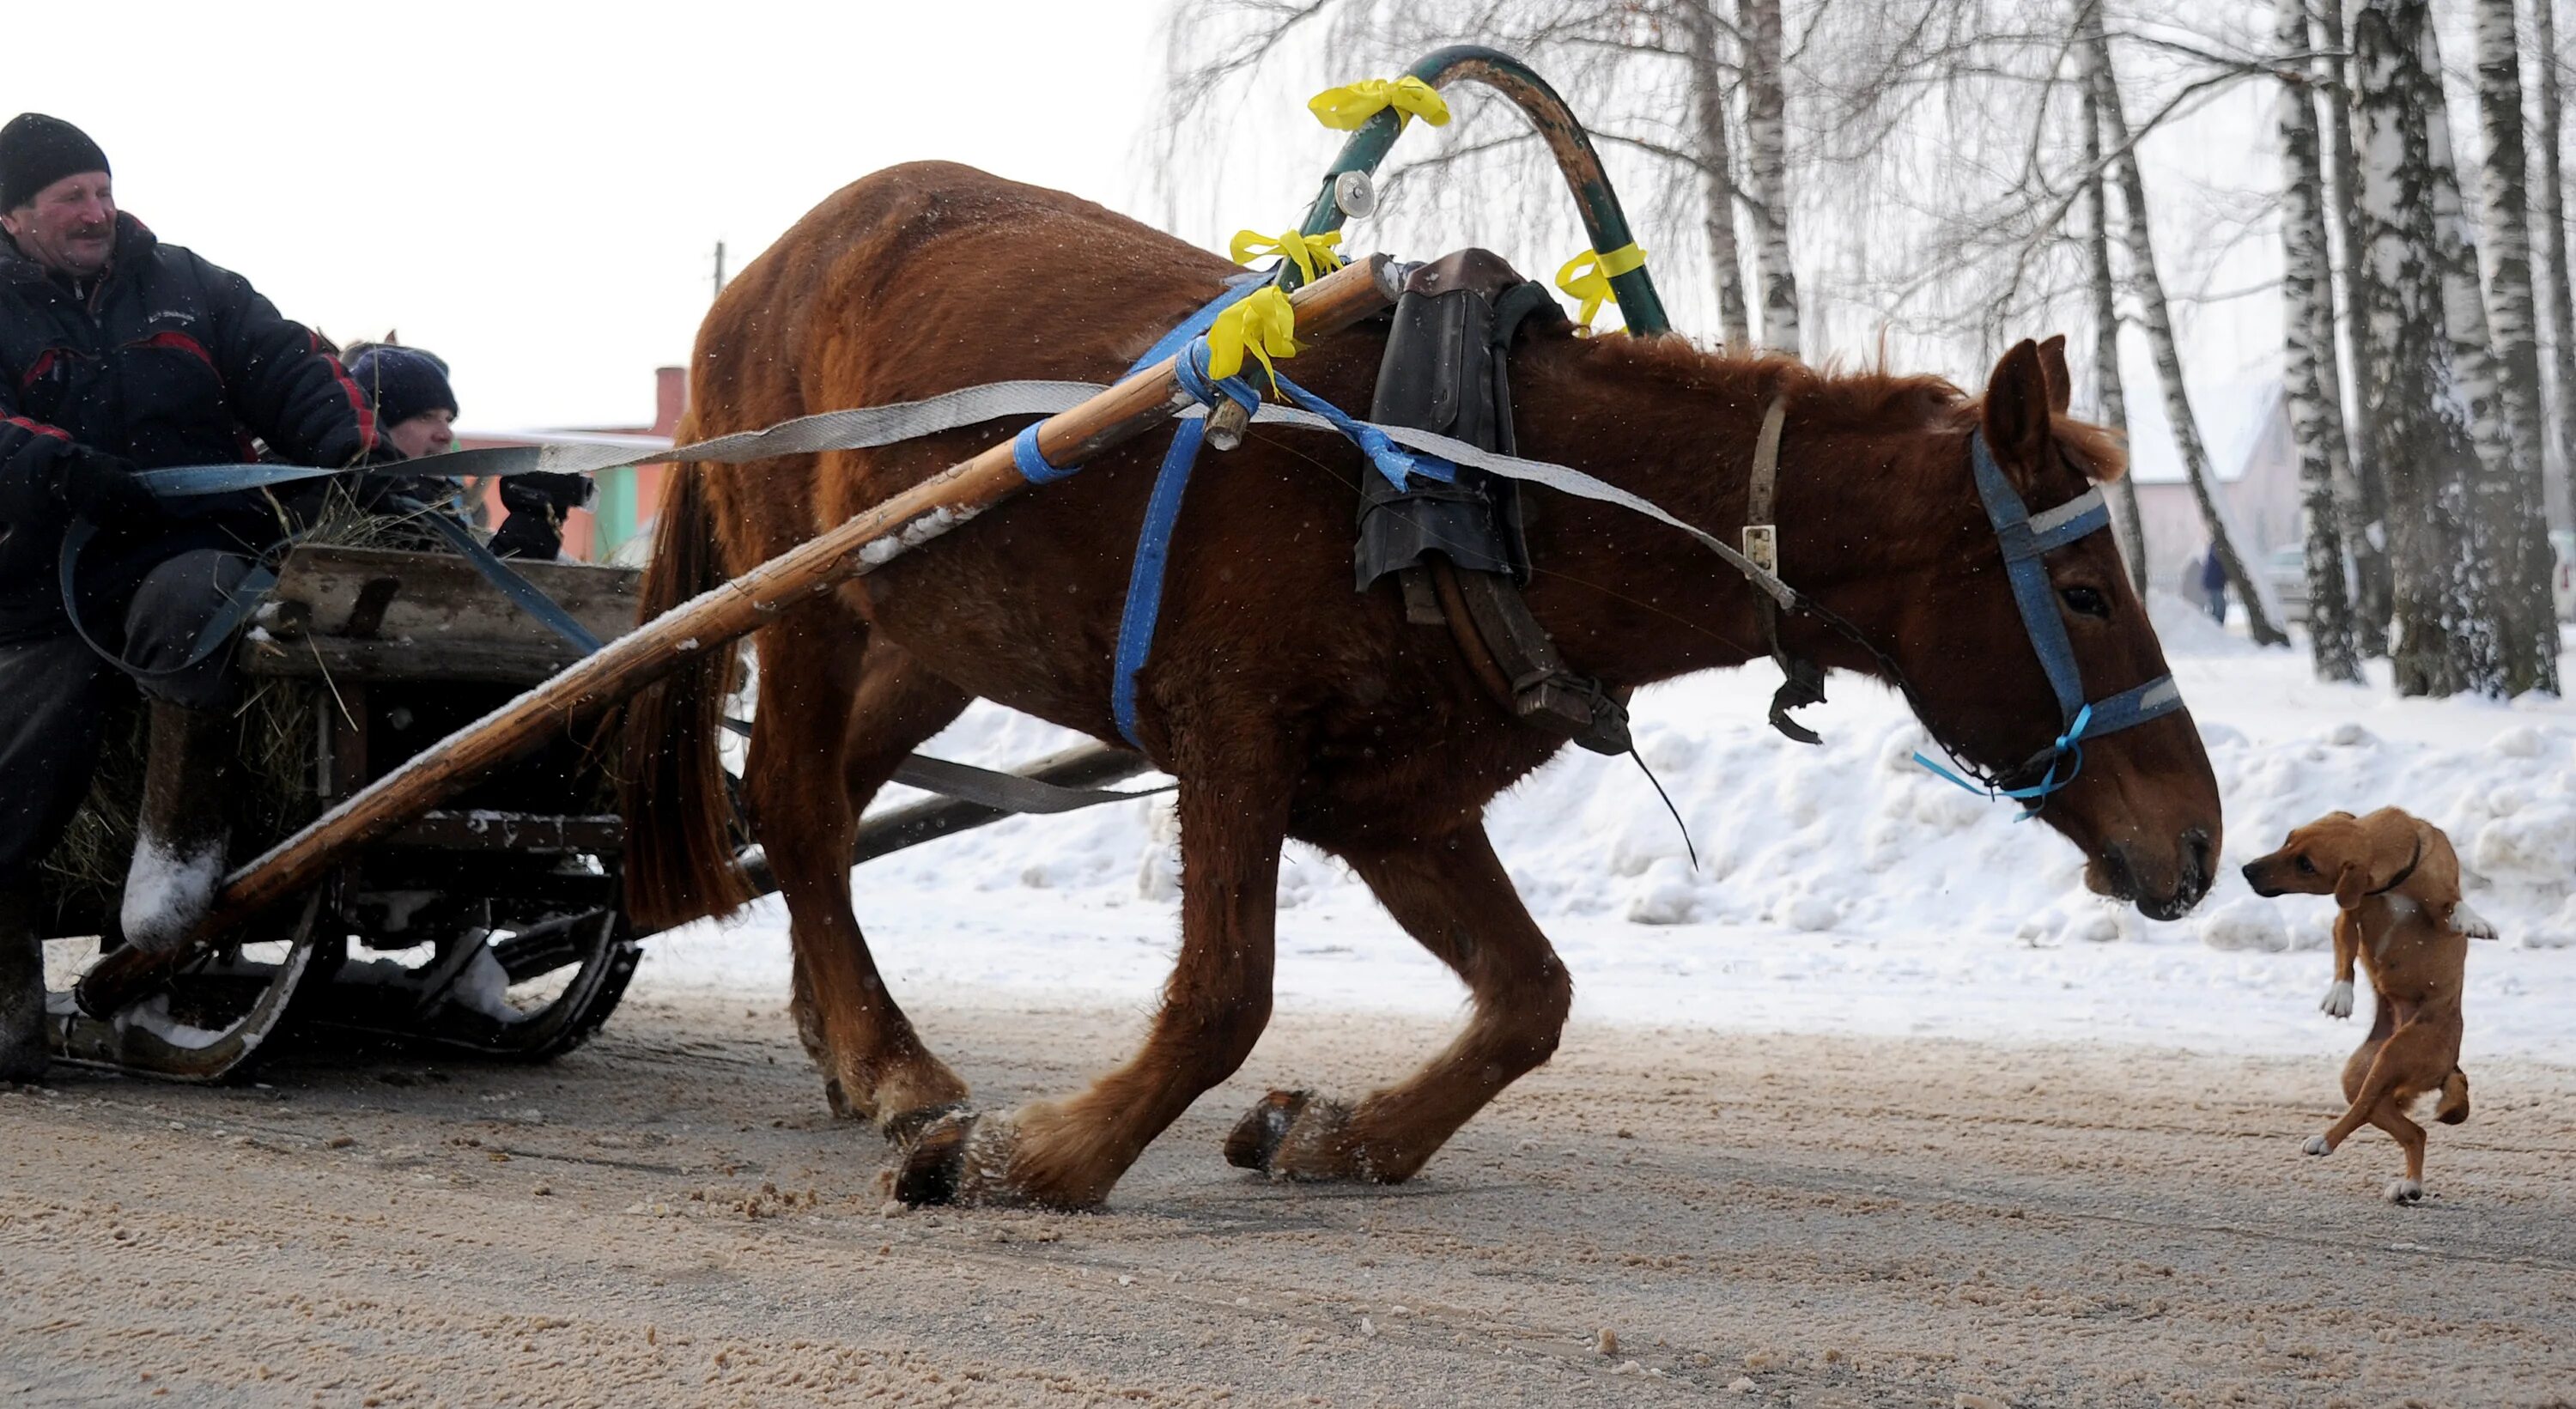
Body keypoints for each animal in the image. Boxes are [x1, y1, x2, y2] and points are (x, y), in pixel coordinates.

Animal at [618, 157, 2215, 1211]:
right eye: (2085, 589)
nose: (2197, 838)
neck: (1477, 471)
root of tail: (769, 266)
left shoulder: (1399, 801)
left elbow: (1532, 999)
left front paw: (1339, 1134)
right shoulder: (1234, 737)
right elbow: (1223, 997)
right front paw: (1037, 1155)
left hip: (926, 636)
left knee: (820, 803)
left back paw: (845, 1037)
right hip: (808, 593)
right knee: (801, 804)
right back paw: (892, 1062)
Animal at [2236, 809, 2494, 1206]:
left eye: (2306, 865)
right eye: (2288, 839)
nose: (2248, 870)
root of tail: (2450, 1067)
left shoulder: (2439, 901)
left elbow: (2452, 904)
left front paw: (2472, 919)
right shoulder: (2346, 915)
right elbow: (2345, 956)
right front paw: (2340, 995)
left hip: (2396, 1053)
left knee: (2362, 1110)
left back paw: (2325, 1141)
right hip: (2362, 1075)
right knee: (2406, 1128)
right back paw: (2410, 1184)